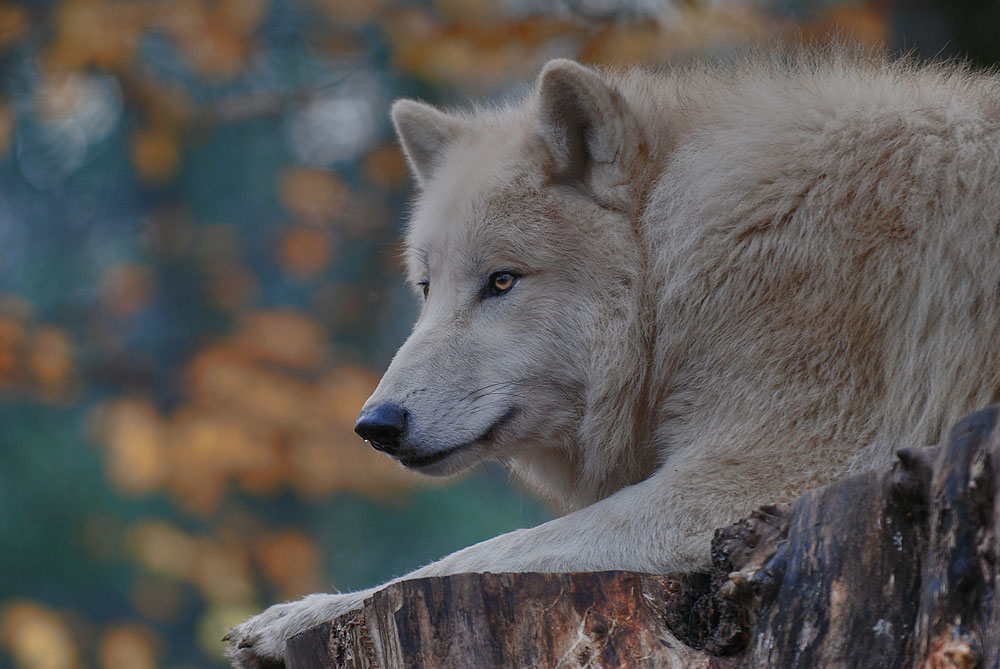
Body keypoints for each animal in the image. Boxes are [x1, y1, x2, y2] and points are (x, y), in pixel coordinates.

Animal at [225, 44, 1000, 664]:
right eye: (425, 286)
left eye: (501, 280)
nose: (376, 424)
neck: (677, 258)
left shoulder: (765, 477)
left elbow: (471, 556)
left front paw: (297, 615)